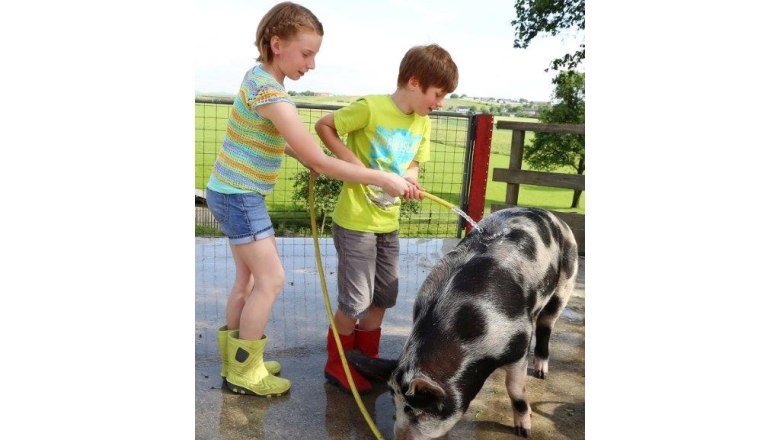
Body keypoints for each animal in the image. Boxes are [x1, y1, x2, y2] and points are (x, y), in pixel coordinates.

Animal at [348, 207, 580, 440]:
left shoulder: (519, 345)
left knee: (546, 325)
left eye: (417, 411)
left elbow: (515, 389)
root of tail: (552, 215)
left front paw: (523, 431)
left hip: (566, 281)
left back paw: (541, 373)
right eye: (394, 404)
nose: (399, 437)